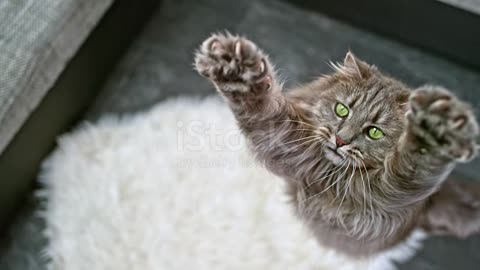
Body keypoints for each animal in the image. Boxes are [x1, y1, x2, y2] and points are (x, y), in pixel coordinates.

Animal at [193, 33, 480, 258]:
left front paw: (433, 130)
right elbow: (257, 101)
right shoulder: (282, 140)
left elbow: (414, 163)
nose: (340, 140)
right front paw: (233, 66)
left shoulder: (390, 193)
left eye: (374, 132)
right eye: (341, 110)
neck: (329, 174)